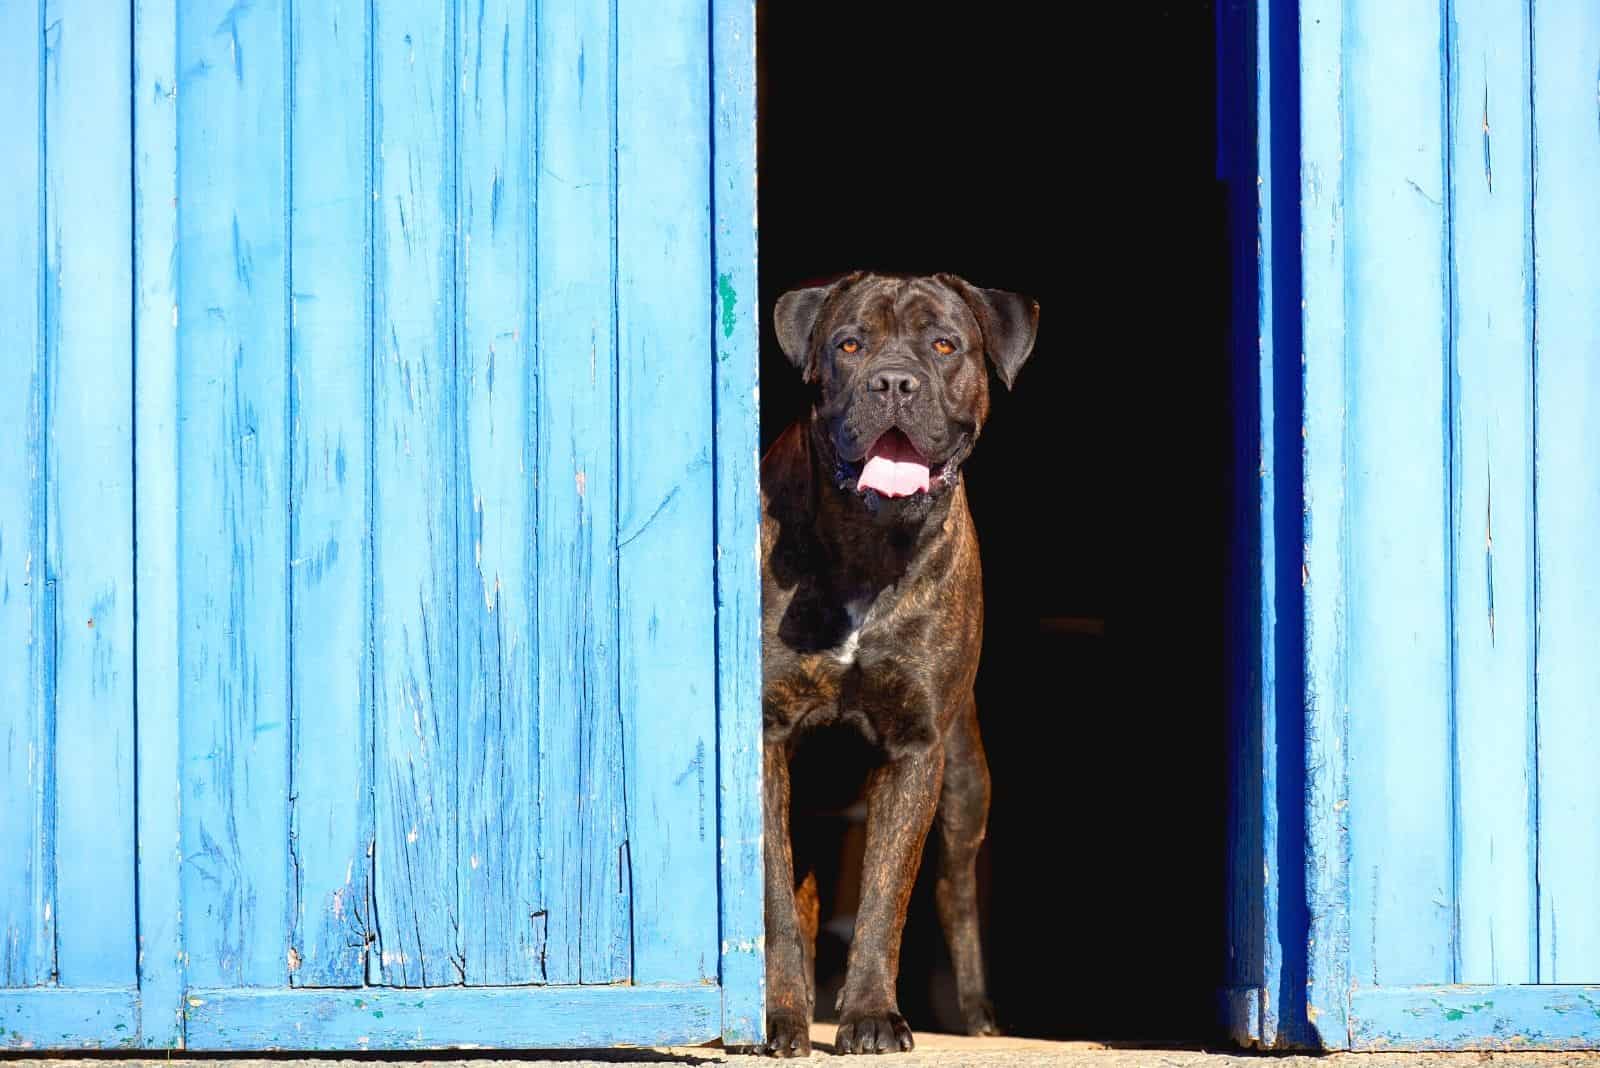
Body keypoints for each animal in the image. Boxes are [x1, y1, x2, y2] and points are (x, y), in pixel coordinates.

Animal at [758, 271, 1036, 1055]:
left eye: (943, 344)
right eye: (850, 344)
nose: (893, 381)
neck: (868, 546)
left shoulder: (916, 747)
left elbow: (886, 897)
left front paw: (871, 1016)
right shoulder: (767, 738)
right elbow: (775, 898)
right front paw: (783, 1015)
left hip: (964, 783)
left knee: (954, 894)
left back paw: (978, 1018)